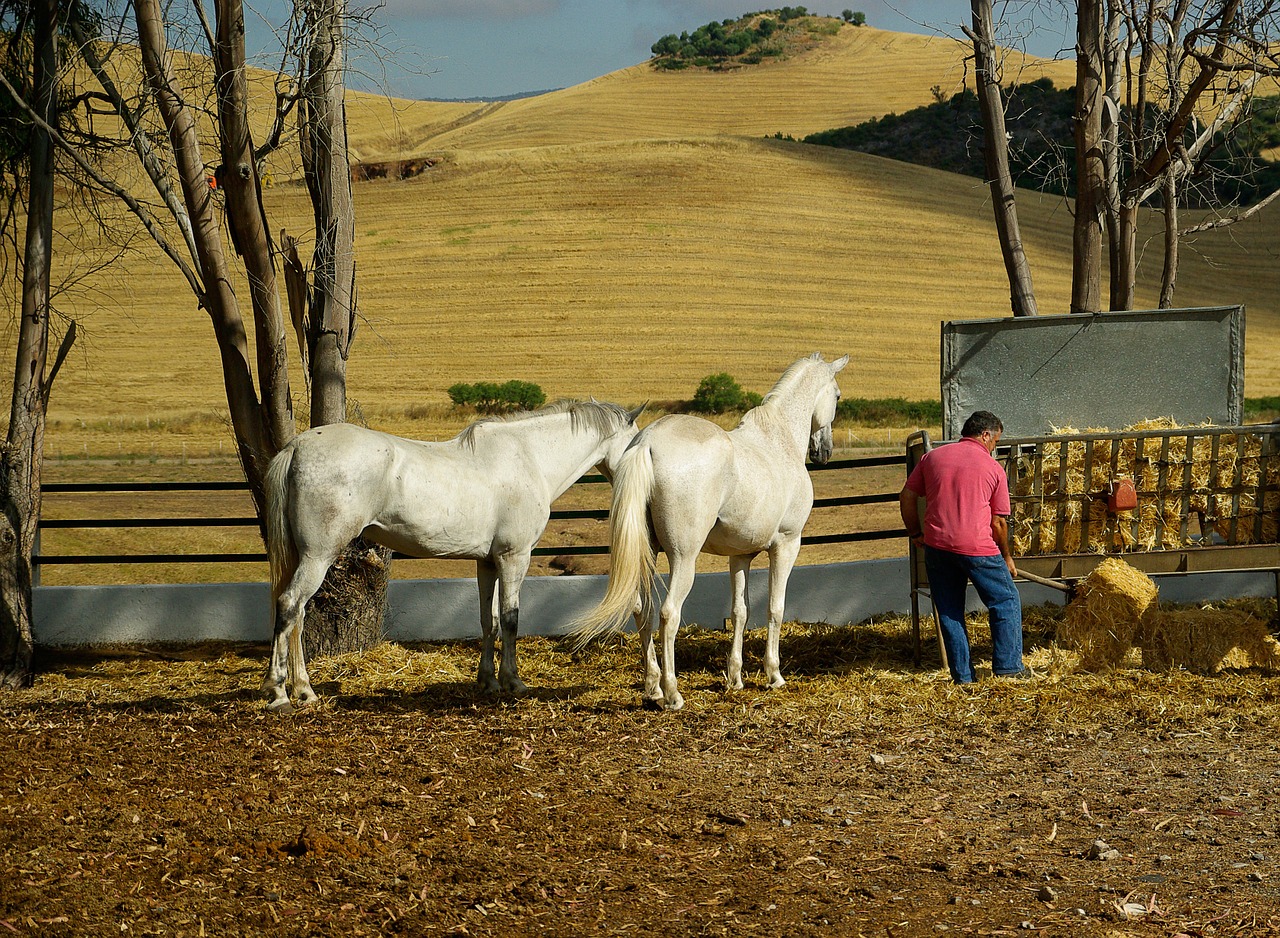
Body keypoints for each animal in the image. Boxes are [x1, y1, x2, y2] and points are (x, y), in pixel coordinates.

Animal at [261, 396, 645, 711]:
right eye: (636, 442)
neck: (529, 457)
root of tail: (297, 446)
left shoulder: (487, 562)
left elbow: (489, 620)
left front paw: (488, 681)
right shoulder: (514, 557)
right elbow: (511, 619)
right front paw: (513, 681)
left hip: (303, 558)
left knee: (297, 615)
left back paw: (303, 690)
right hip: (318, 557)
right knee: (290, 605)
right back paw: (280, 693)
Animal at [576, 355, 844, 706]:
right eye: (837, 396)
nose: (823, 451)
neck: (778, 441)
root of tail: (647, 443)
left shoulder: (740, 556)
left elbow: (740, 611)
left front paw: (735, 678)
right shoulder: (786, 545)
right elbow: (775, 608)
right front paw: (774, 675)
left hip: (648, 554)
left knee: (641, 611)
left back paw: (652, 688)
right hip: (683, 559)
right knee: (668, 614)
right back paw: (672, 694)